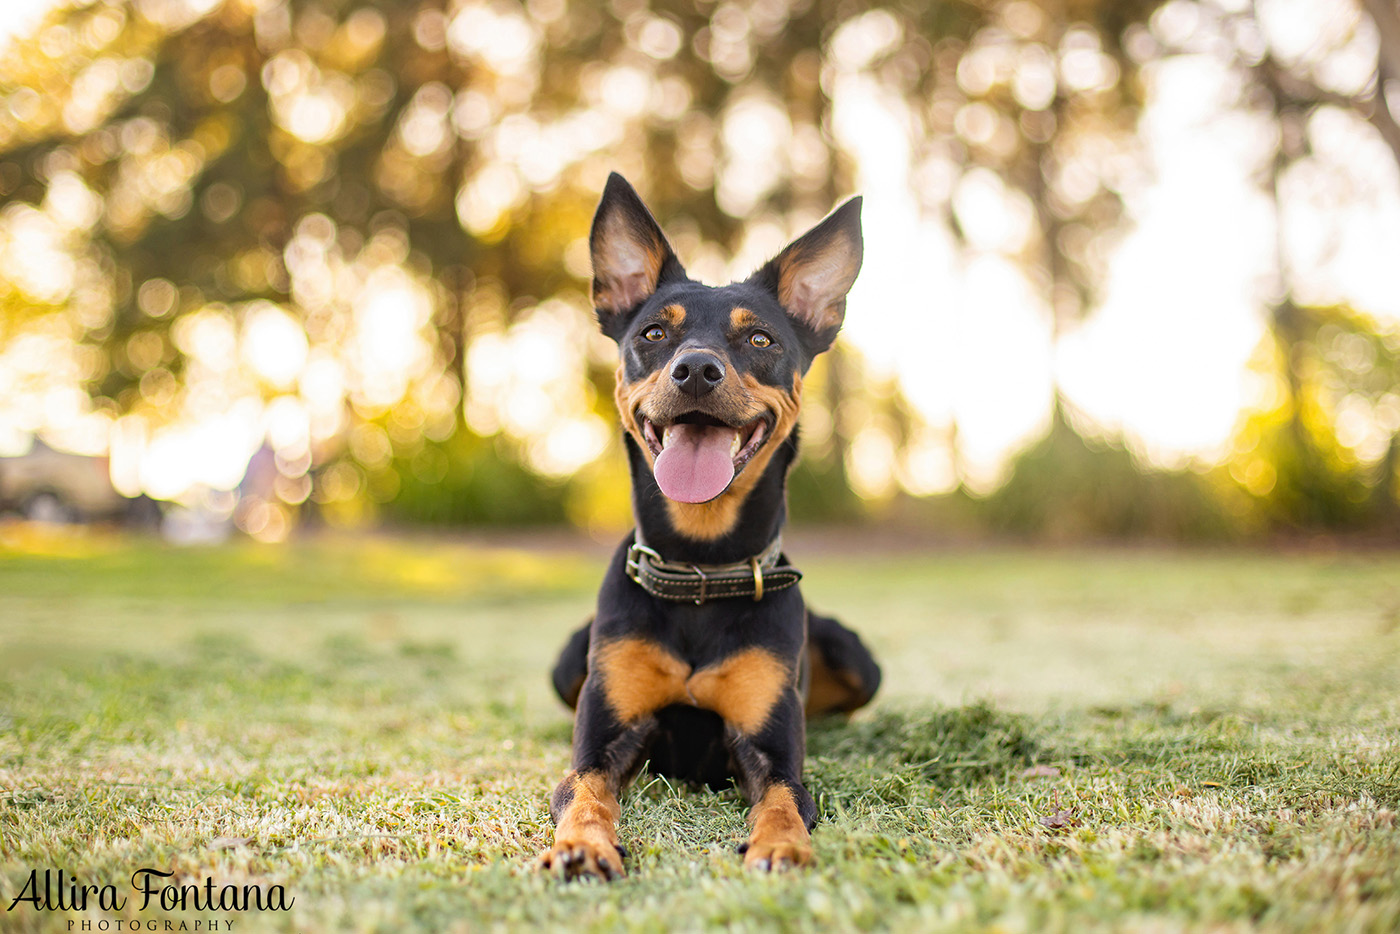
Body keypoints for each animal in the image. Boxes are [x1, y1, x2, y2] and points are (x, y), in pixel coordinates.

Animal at [540, 175, 879, 884]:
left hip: (860, 661)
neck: (699, 569)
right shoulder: (606, 736)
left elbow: (783, 798)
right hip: (566, 662)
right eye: (652, 332)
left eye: (761, 341)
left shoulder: (769, 746)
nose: (696, 369)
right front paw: (583, 844)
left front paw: (781, 846)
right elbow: (583, 791)